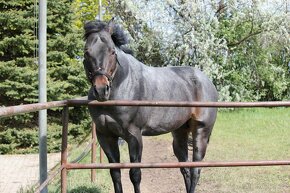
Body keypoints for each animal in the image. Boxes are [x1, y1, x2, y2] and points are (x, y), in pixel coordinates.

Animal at [81, 18, 218, 193]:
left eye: (112, 52)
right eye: (86, 52)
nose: (101, 90)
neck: (122, 85)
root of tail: (206, 80)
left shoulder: (134, 135)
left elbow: (135, 174)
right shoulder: (106, 136)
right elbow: (115, 173)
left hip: (201, 131)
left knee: (196, 170)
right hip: (179, 133)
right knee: (185, 169)